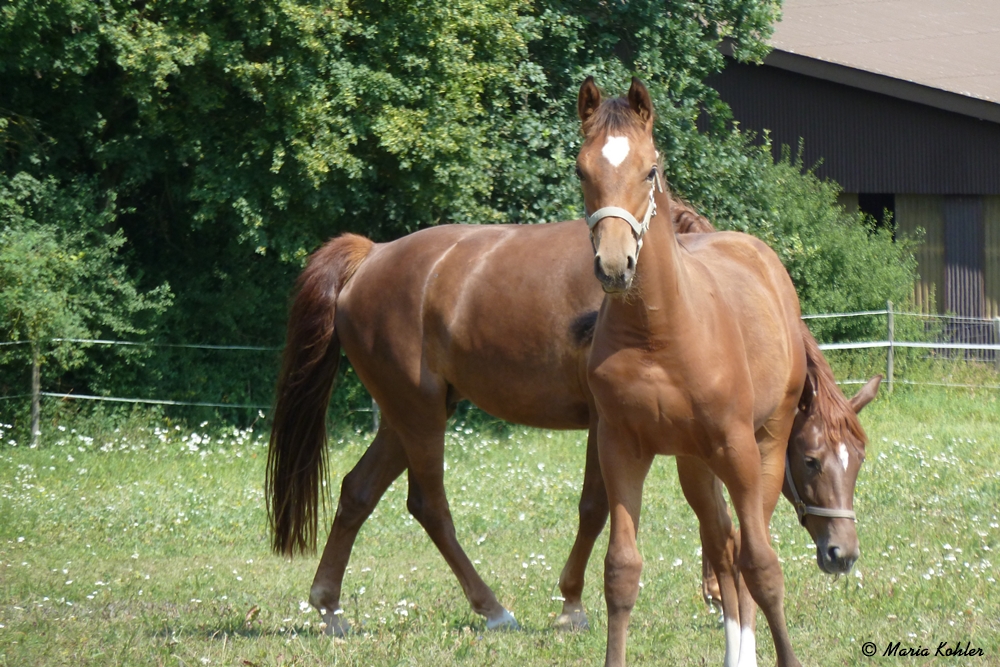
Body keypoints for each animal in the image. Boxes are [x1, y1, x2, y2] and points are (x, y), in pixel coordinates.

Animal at [580, 78, 820, 667]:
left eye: (649, 170)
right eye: (581, 170)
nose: (614, 266)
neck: (658, 335)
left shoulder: (736, 447)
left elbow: (763, 565)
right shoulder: (621, 447)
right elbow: (621, 571)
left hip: (763, 442)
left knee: (746, 549)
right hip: (694, 463)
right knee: (723, 546)